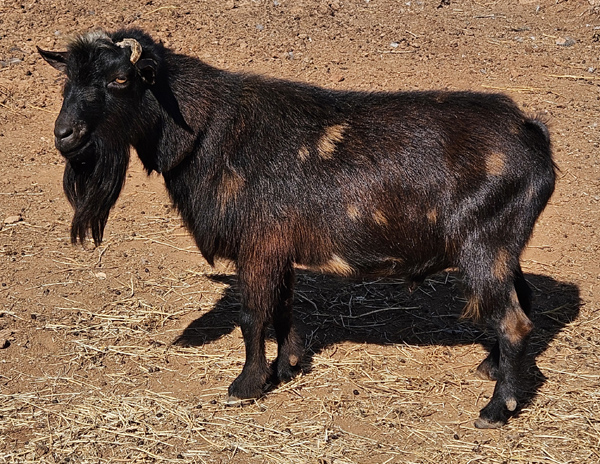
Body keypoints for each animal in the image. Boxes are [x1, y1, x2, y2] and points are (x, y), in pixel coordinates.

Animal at [38, 28, 556, 428]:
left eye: (121, 79)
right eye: (67, 81)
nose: (65, 135)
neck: (208, 131)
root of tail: (533, 134)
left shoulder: (257, 245)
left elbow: (252, 315)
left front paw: (246, 385)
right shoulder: (278, 248)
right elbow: (282, 307)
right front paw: (286, 366)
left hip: (484, 247)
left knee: (514, 321)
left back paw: (497, 409)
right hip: (503, 248)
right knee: (523, 298)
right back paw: (490, 367)